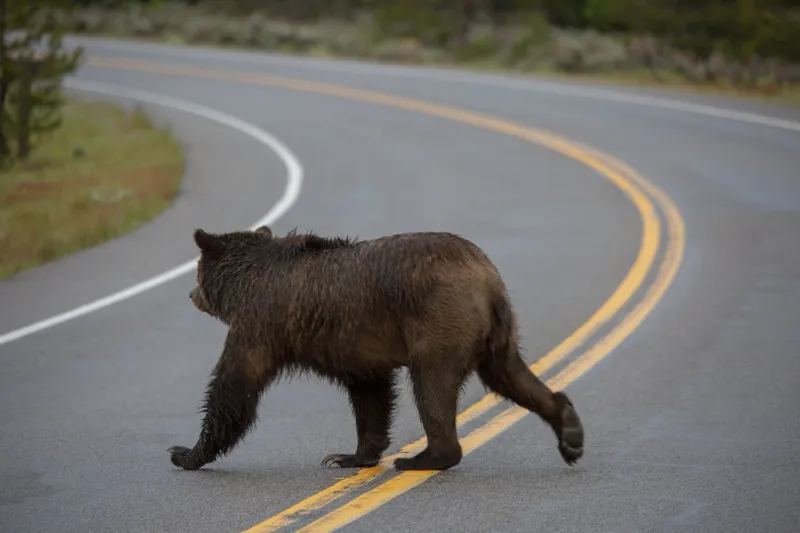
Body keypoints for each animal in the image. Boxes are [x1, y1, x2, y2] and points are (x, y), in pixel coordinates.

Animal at [167, 225, 584, 472]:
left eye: (197, 272)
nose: (190, 294)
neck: (245, 284)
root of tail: (486, 278)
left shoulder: (260, 324)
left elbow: (234, 386)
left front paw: (185, 453)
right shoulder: (354, 347)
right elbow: (370, 394)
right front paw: (348, 456)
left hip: (438, 322)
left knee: (432, 385)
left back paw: (423, 458)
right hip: (498, 333)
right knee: (510, 374)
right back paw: (570, 431)